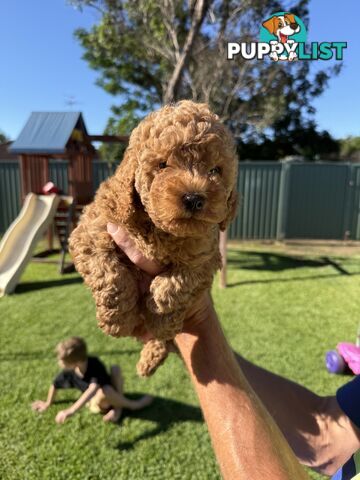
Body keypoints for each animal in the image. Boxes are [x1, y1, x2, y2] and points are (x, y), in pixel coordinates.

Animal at [69, 100, 239, 376]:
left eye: (215, 170)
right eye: (162, 165)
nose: (194, 198)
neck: (161, 231)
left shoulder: (206, 255)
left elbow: (178, 281)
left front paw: (160, 315)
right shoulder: (91, 232)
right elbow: (111, 274)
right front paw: (117, 320)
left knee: (164, 342)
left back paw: (152, 353)